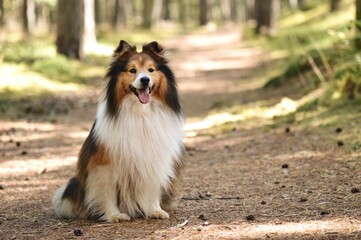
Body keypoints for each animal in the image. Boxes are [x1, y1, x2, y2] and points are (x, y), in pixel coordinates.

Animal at [51, 40, 183, 222]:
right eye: (132, 70)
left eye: (151, 70)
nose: (145, 80)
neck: (140, 113)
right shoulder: (104, 164)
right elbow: (108, 192)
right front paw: (114, 215)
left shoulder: (153, 158)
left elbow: (151, 187)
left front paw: (155, 210)